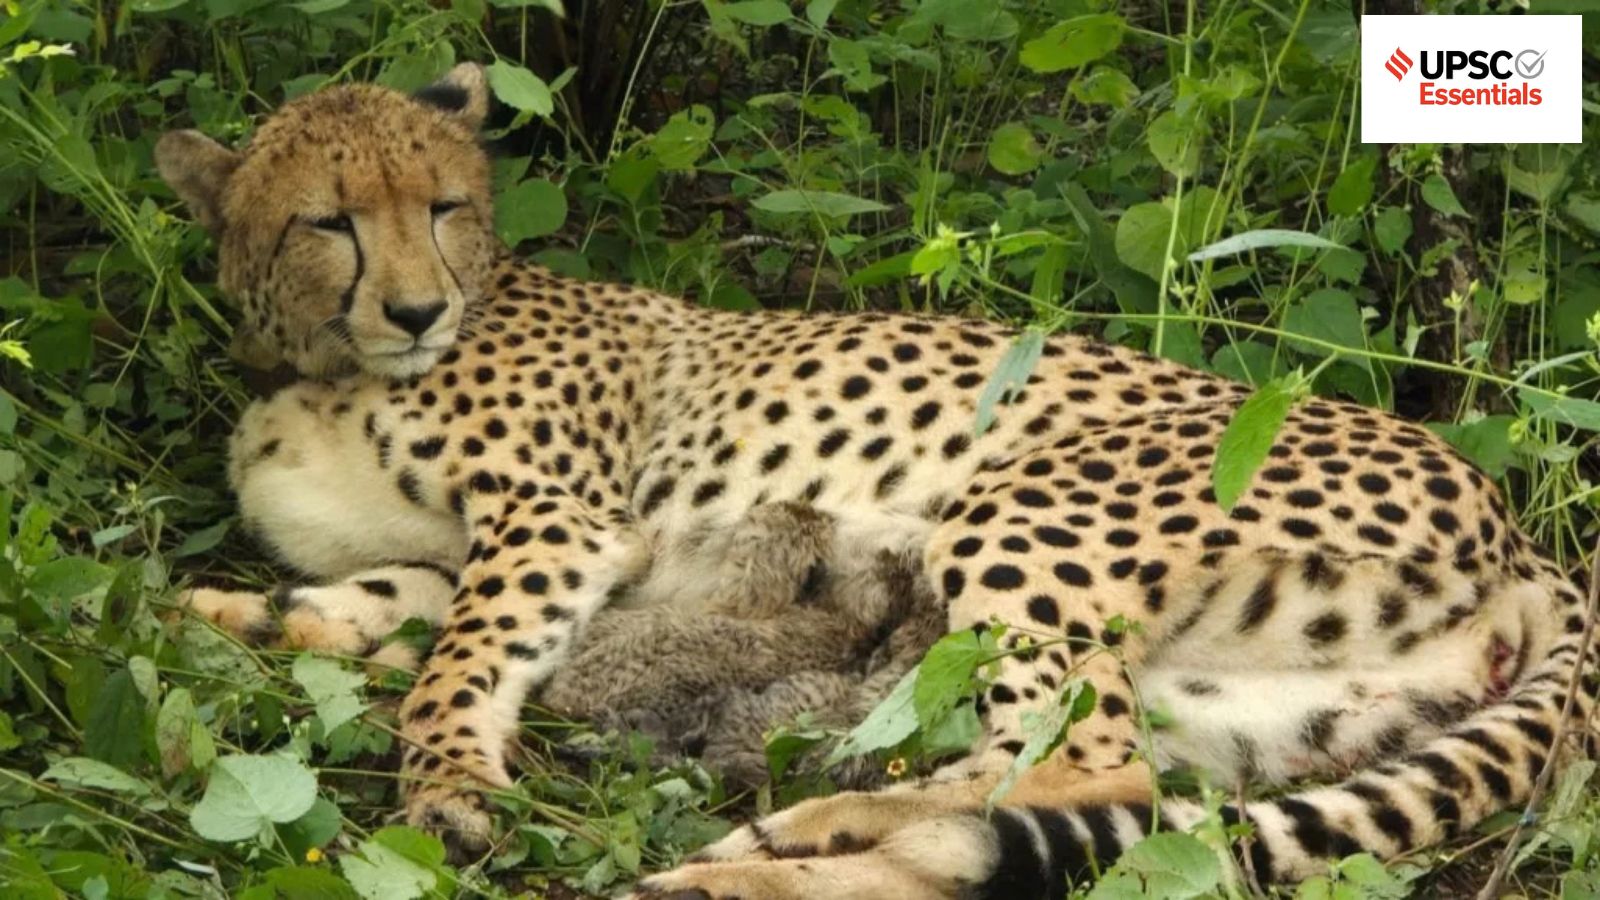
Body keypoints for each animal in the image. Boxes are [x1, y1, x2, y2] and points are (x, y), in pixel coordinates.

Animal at [155, 63, 1595, 898]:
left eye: (444, 206)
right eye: (329, 220)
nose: (414, 309)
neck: (323, 363)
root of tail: (1526, 534)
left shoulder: (557, 521)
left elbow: (457, 659)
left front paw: (448, 785)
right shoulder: (465, 552)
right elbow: (363, 608)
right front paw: (219, 619)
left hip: (1023, 510)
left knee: (1071, 769)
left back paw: (786, 843)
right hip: (1256, 707)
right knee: (1111, 795)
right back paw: (762, 859)